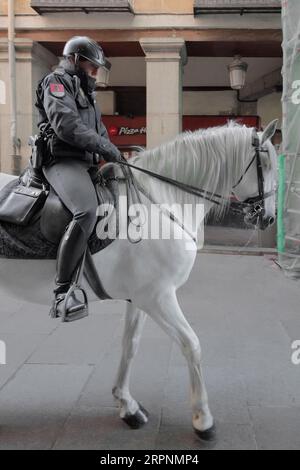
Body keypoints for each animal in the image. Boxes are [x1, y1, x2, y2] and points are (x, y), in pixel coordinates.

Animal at [0, 121, 278, 440]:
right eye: (266, 163)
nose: (269, 218)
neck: (160, 203)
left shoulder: (142, 297)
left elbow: (129, 345)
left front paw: (127, 405)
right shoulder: (159, 297)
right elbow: (191, 345)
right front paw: (203, 419)